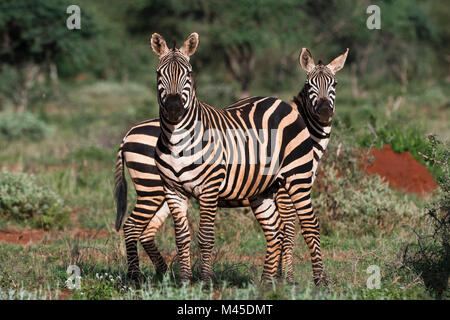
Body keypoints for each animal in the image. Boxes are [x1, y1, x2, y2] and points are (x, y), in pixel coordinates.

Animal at [114, 36, 346, 284]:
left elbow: (282, 231)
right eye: (310, 84)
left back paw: (162, 273)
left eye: (335, 84)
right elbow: (289, 230)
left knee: (146, 231)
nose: (325, 112)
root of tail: (128, 134)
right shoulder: (284, 191)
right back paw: (137, 277)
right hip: (152, 189)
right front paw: (287, 277)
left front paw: (278, 277)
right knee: (133, 226)